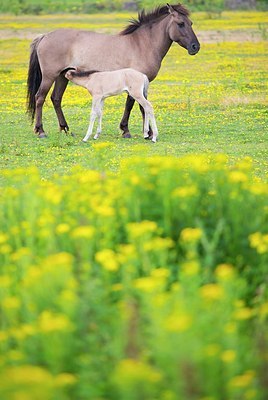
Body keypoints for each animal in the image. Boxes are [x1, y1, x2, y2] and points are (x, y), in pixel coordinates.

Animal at [27, 2, 200, 138]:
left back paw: (65, 129)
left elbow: (141, 106)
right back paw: (41, 131)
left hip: (62, 76)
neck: (142, 44)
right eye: (180, 23)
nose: (195, 47)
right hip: (50, 76)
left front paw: (143, 132)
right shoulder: (134, 83)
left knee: (56, 98)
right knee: (40, 98)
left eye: (191, 23)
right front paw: (132, 131)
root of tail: (44, 36)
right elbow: (133, 105)